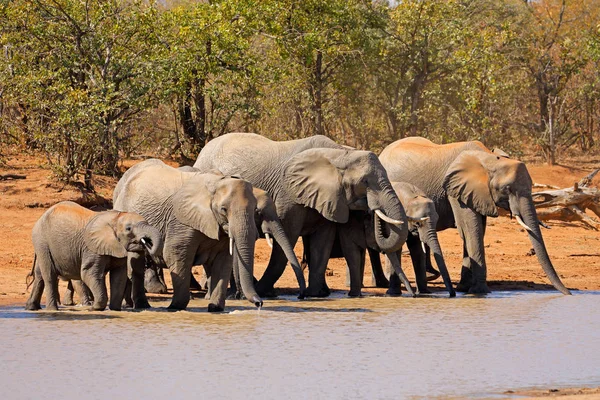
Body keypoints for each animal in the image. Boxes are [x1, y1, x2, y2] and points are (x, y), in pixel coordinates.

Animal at [24, 202, 163, 310]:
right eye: (128, 229)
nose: (146, 242)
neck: (115, 217)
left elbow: (119, 276)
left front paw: (115, 309)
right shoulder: (91, 248)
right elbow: (88, 273)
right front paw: (94, 308)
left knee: (40, 275)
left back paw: (32, 308)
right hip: (42, 242)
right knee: (49, 275)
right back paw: (52, 310)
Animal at [195, 133, 410, 298]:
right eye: (365, 182)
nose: (372, 208)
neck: (339, 154)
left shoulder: (330, 198)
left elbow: (322, 243)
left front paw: (315, 294)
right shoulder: (288, 194)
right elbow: (286, 240)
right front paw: (265, 292)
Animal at [380, 136, 572, 296]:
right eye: (507, 189)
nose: (568, 293)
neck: (488, 158)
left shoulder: (478, 193)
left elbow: (477, 229)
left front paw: (465, 288)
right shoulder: (456, 190)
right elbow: (471, 229)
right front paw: (480, 291)